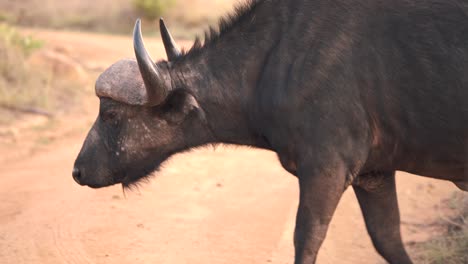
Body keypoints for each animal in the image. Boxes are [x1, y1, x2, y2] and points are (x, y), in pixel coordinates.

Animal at [71, 1, 466, 262]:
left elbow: (306, 239)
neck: (273, 59)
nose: (77, 170)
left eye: (110, 114)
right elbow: (388, 239)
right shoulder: (374, 174)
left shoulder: (326, 169)